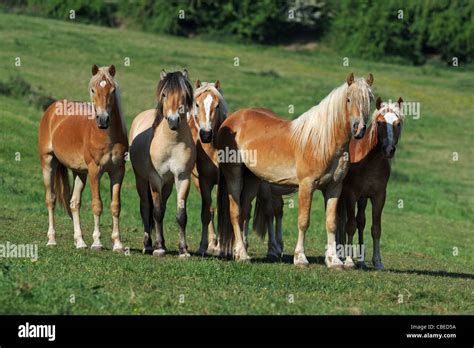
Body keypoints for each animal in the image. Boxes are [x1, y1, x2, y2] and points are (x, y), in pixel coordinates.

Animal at [38, 64, 128, 250]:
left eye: (113, 90)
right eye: (93, 90)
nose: (103, 119)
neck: (106, 136)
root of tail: (52, 109)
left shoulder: (118, 172)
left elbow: (115, 206)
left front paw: (117, 244)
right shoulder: (95, 171)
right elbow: (97, 205)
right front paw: (97, 242)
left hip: (80, 173)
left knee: (74, 203)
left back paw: (80, 241)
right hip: (48, 162)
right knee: (51, 199)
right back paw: (52, 239)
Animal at [128, 68, 194, 258]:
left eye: (184, 95)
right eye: (164, 94)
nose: (173, 121)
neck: (172, 143)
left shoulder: (182, 178)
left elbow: (181, 215)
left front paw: (183, 250)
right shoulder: (155, 179)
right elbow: (156, 213)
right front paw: (158, 249)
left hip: (168, 184)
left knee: (162, 206)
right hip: (141, 180)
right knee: (146, 208)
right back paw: (149, 245)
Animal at [216, 72, 374, 270]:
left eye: (369, 100)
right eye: (348, 99)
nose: (359, 129)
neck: (322, 140)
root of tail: (231, 119)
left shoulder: (334, 188)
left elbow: (331, 223)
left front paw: (334, 261)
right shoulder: (307, 185)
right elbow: (303, 221)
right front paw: (300, 258)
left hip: (252, 179)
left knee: (244, 213)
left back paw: (240, 252)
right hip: (234, 175)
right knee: (235, 212)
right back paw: (243, 256)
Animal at [336, 96, 404, 270]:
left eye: (398, 123)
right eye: (380, 123)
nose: (389, 150)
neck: (369, 160)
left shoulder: (378, 196)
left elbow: (375, 228)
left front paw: (378, 261)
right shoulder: (350, 194)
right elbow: (350, 226)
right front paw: (348, 261)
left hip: (362, 199)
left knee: (360, 221)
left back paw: (360, 260)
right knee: (341, 221)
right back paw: (341, 254)